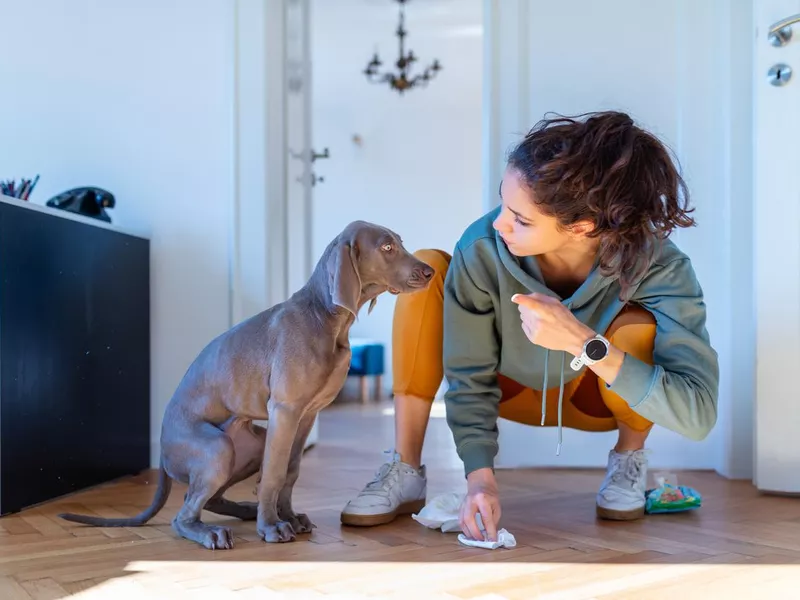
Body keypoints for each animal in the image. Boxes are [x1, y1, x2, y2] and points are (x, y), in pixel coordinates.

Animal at [58, 220, 434, 548]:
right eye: (387, 247)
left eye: (399, 242)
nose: (430, 271)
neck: (326, 317)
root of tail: (163, 453)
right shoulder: (285, 409)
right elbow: (274, 474)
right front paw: (272, 527)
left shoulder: (306, 414)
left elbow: (291, 470)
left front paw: (289, 517)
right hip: (217, 447)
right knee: (183, 515)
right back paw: (212, 532)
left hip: (250, 444)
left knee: (208, 498)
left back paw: (244, 511)